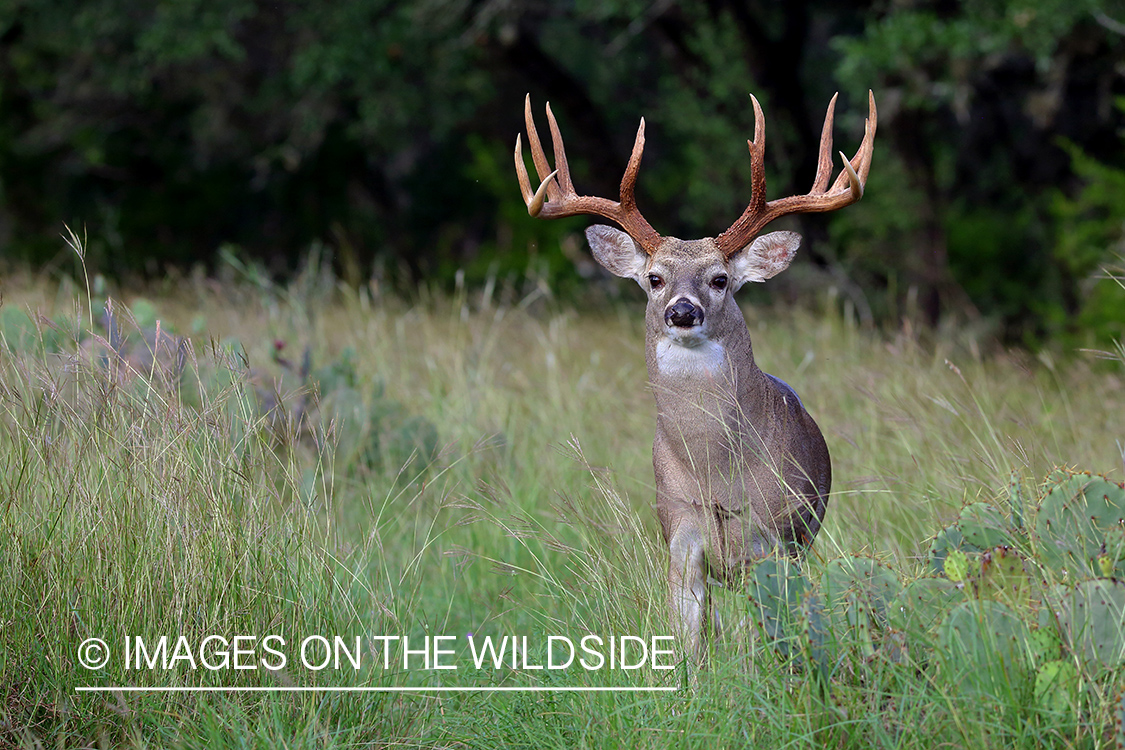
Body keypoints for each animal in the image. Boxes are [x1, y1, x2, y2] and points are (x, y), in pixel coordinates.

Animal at [515, 91, 873, 661]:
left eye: (720, 279)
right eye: (654, 278)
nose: (682, 311)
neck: (714, 472)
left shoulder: (769, 538)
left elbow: (756, 638)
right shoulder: (679, 528)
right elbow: (687, 639)